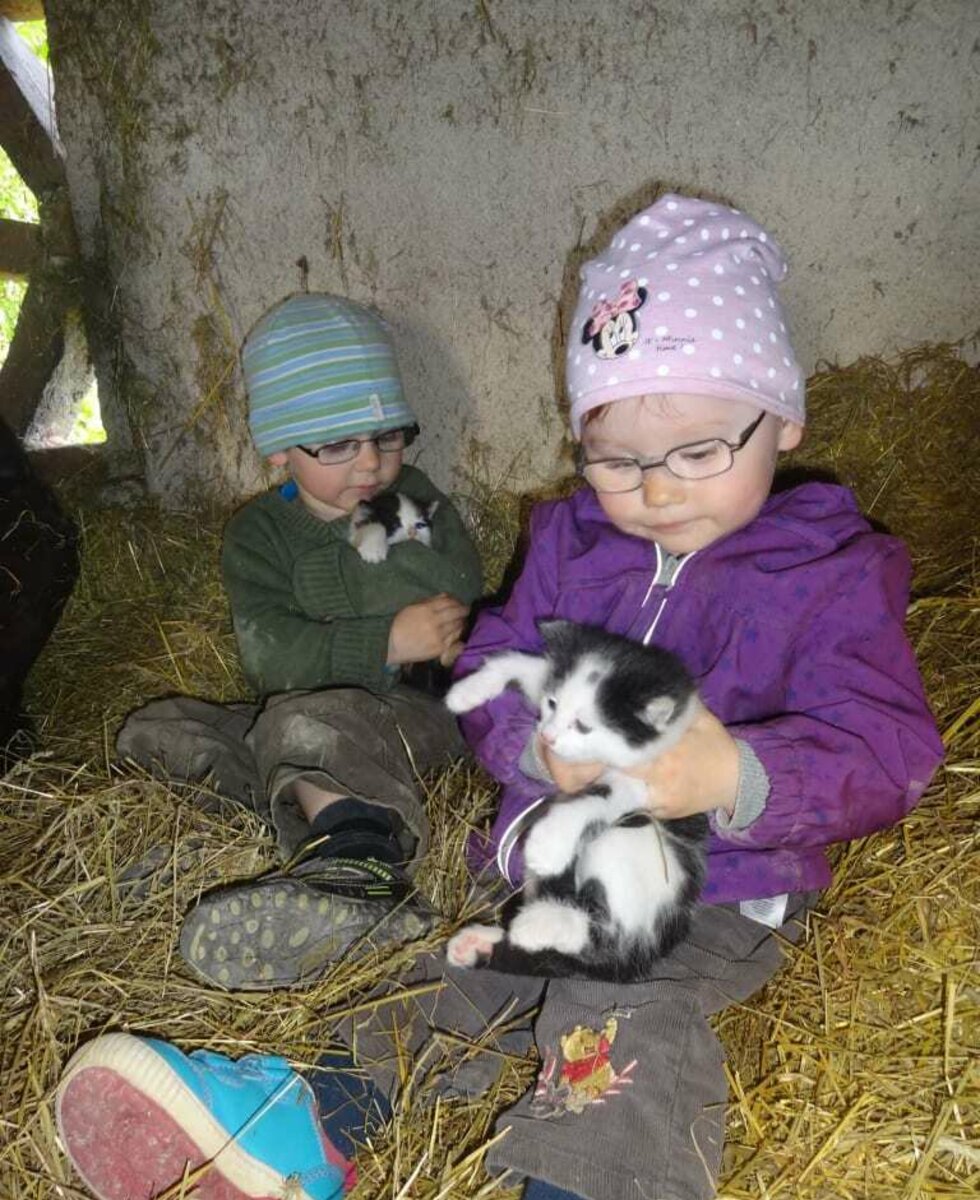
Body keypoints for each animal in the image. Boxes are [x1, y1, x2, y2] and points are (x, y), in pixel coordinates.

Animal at [441, 624, 705, 979]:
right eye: (553, 703)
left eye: (583, 726)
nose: (547, 736)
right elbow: (525, 664)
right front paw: (467, 690)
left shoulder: (644, 782)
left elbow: (597, 797)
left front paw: (548, 844)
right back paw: (477, 945)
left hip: (636, 854)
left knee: (605, 938)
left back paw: (537, 924)